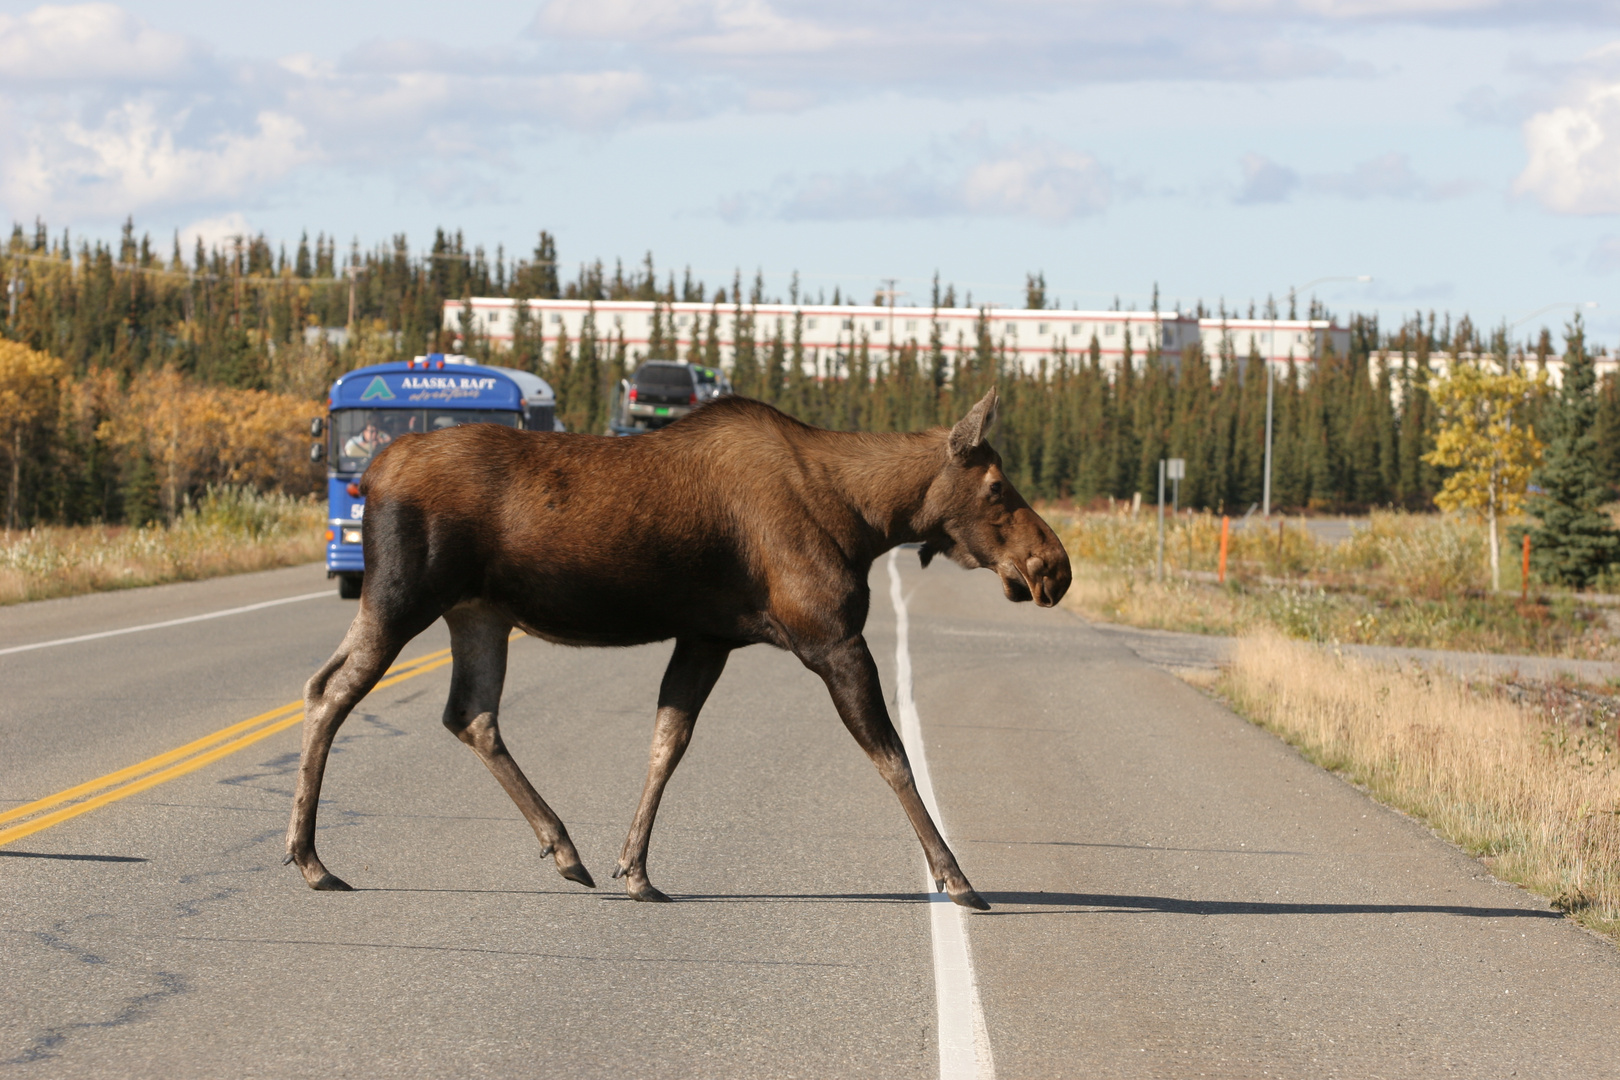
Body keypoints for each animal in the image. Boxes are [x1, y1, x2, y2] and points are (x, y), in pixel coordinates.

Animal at [288, 388, 1075, 913]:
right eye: (997, 486)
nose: (1054, 567)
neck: (868, 520)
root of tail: (372, 472)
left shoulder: (707, 637)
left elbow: (667, 741)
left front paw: (634, 869)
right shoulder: (831, 638)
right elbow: (892, 757)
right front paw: (958, 878)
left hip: (477, 613)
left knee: (469, 714)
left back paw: (563, 847)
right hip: (403, 595)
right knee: (329, 690)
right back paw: (312, 860)